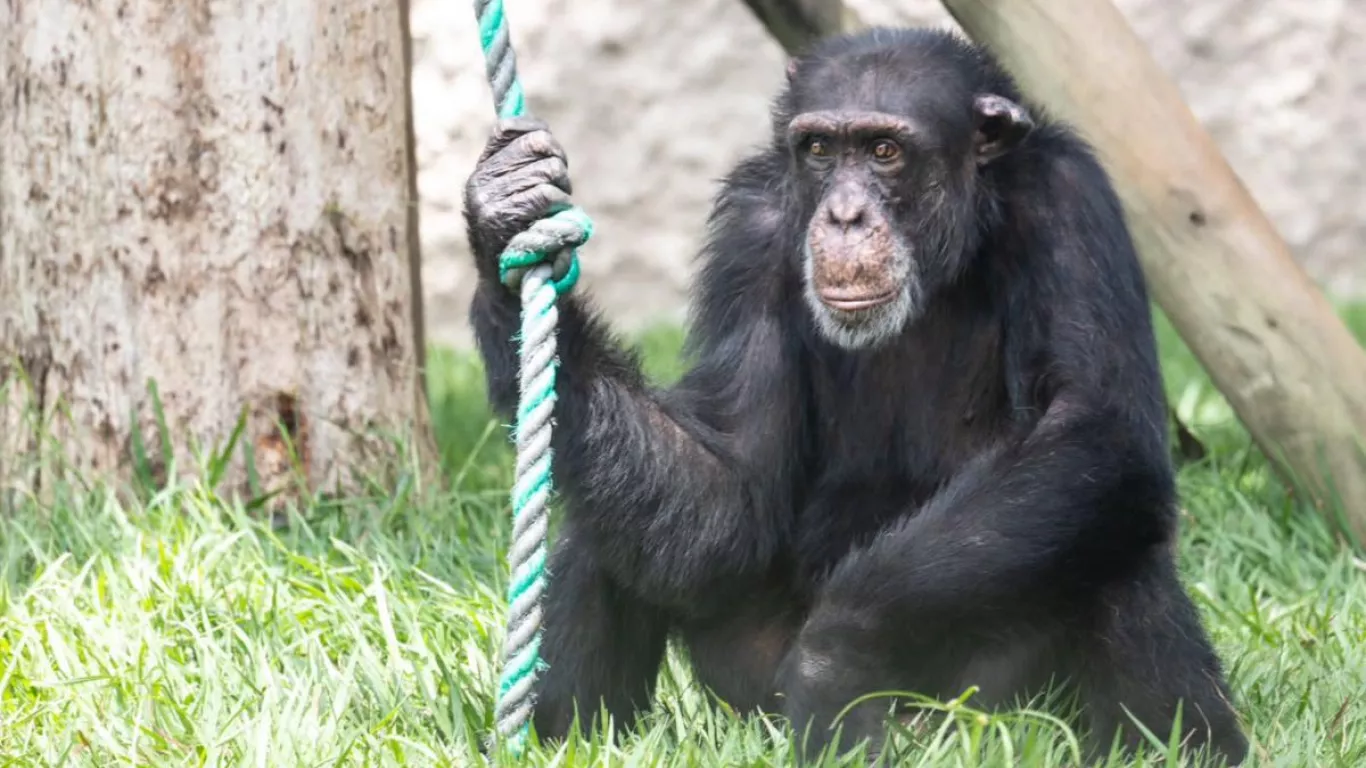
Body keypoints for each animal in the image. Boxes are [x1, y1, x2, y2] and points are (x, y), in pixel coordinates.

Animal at [467, 25, 1251, 765]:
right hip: (751, 697)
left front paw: (834, 663)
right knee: (602, 529)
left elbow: (1095, 421)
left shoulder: (1070, 201)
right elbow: (729, 490)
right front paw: (505, 219)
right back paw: (563, 740)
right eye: (819, 148)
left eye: (883, 151)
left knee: (1110, 526)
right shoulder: (751, 231)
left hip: (995, 707)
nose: (844, 215)